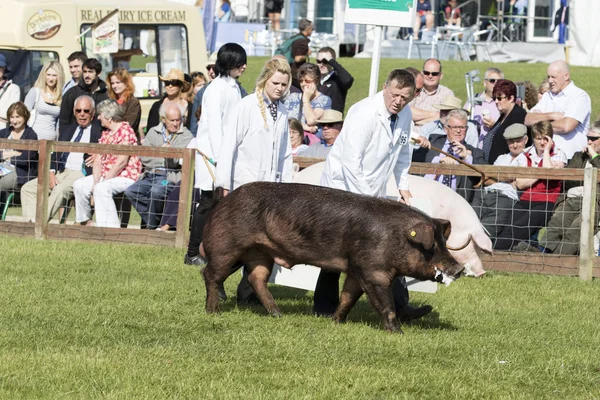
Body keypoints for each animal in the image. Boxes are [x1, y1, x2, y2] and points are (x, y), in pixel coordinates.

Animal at [202, 181, 464, 332]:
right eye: (431, 247)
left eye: (444, 244)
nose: (459, 268)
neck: (394, 238)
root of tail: (223, 200)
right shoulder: (373, 272)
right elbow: (386, 304)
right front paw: (397, 333)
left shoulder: (356, 270)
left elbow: (347, 297)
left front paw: (335, 322)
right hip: (227, 245)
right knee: (210, 274)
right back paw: (212, 311)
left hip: (260, 253)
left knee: (256, 278)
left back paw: (278, 314)